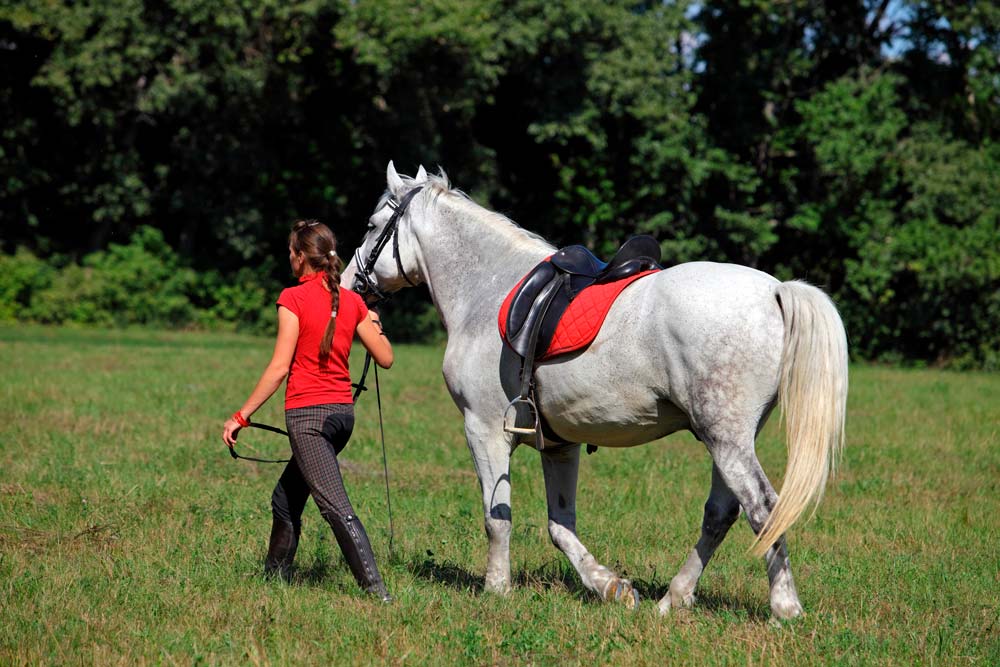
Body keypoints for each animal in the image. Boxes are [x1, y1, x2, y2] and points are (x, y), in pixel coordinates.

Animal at [340, 162, 848, 620]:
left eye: (371, 226)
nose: (348, 284)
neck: (488, 290)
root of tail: (776, 292)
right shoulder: (558, 444)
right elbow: (559, 525)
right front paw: (610, 587)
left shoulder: (483, 431)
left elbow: (497, 518)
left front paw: (497, 589)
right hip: (731, 440)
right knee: (721, 514)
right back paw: (674, 599)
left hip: (727, 440)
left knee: (764, 509)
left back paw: (784, 608)